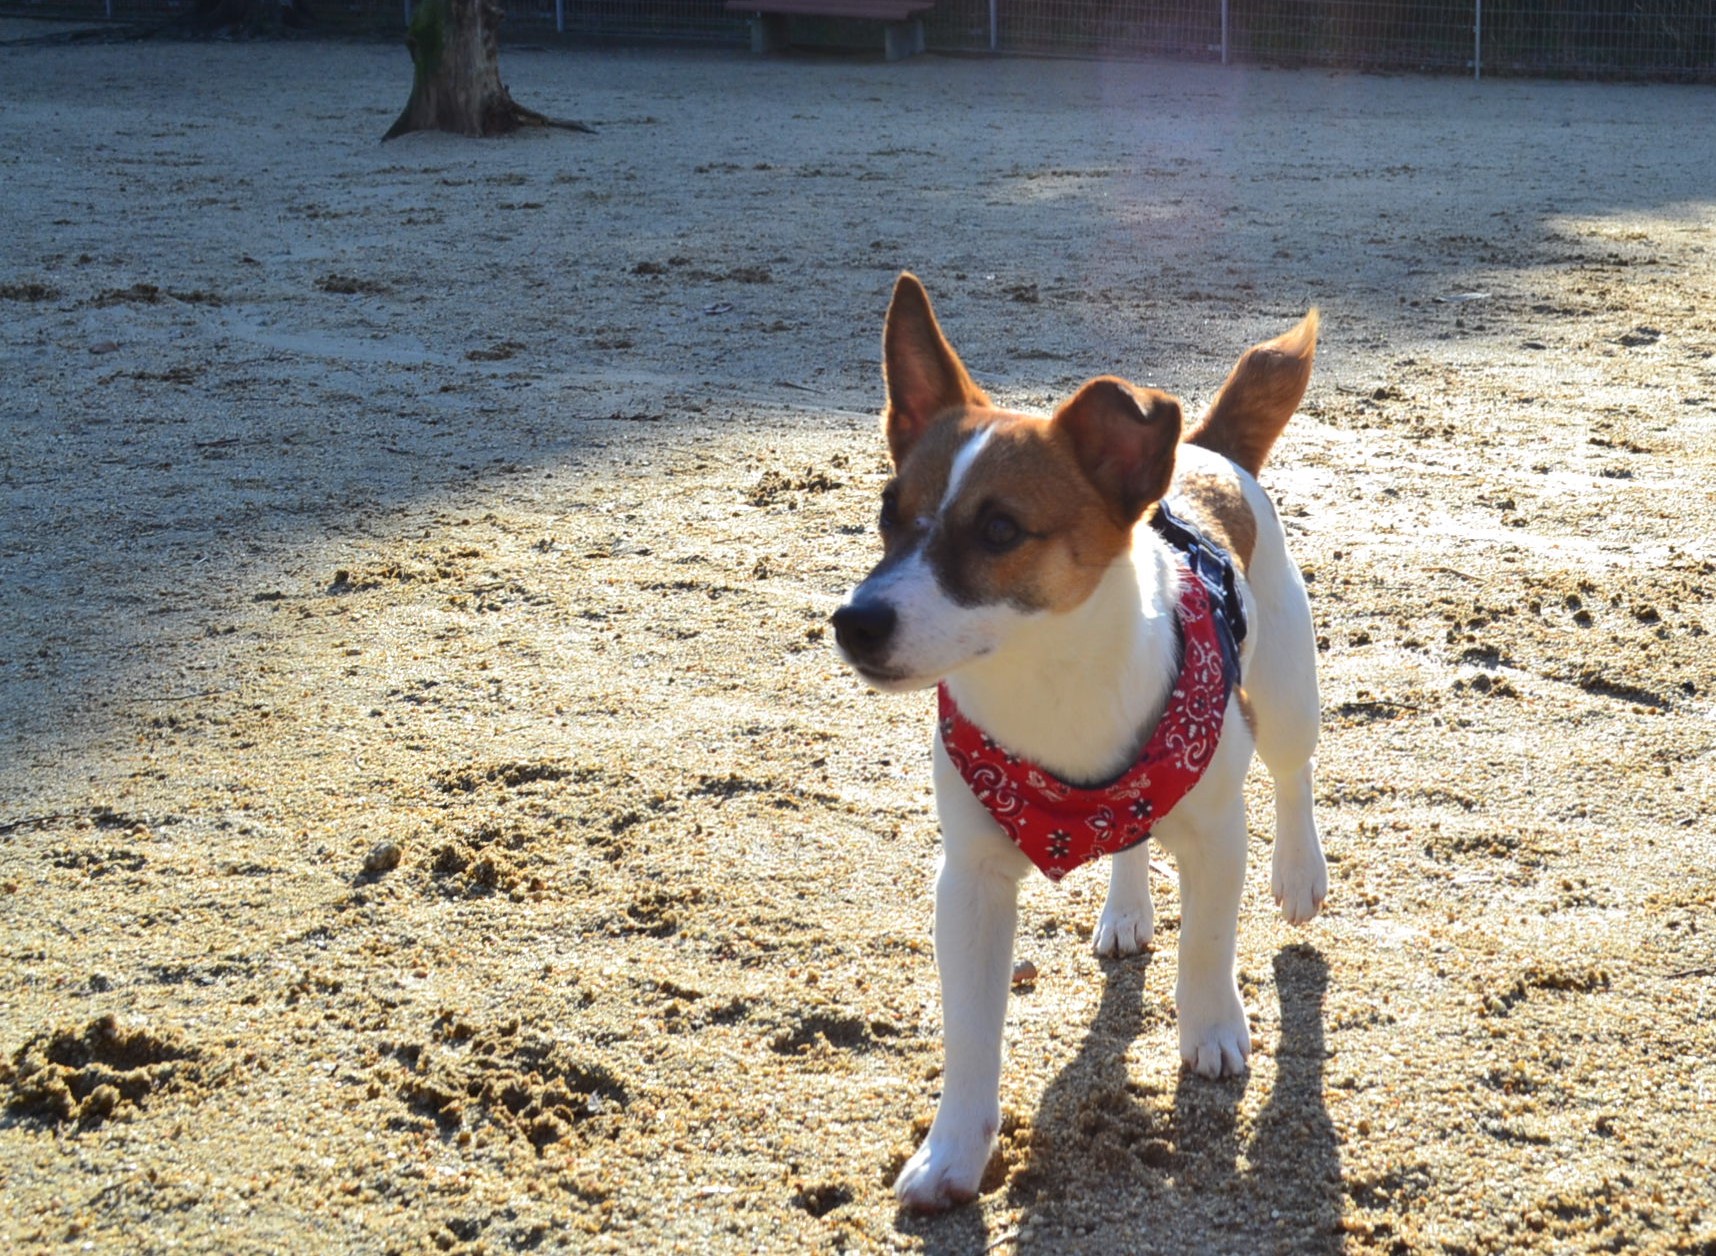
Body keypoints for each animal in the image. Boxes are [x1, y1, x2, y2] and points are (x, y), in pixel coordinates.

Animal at [830, 272, 1324, 1207]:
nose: (853, 622)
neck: (1048, 682)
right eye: (885, 512)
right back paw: (1126, 907)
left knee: (1293, 774)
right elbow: (971, 1033)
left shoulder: (1217, 836)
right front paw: (954, 1153)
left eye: (999, 529)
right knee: (1130, 835)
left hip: (1285, 690)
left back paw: (1300, 872)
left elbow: (1208, 942)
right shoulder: (971, 884)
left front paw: (1211, 1029)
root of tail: (1204, 451)